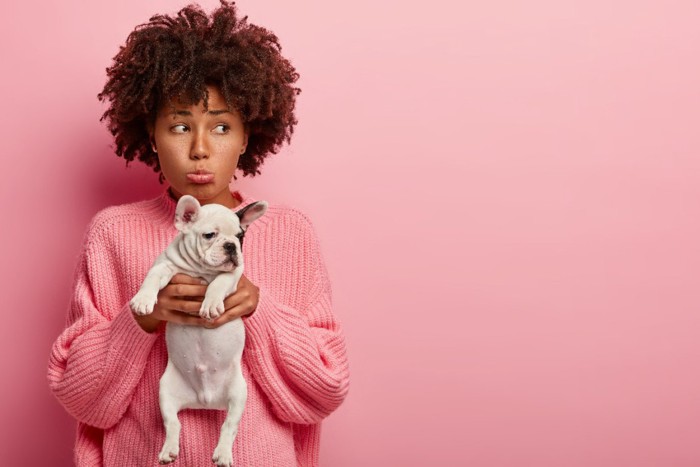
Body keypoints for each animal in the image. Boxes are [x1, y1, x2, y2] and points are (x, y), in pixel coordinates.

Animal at [129, 195, 268, 467]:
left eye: (241, 237)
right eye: (209, 235)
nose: (231, 246)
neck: (201, 270)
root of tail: (205, 400)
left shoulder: (235, 275)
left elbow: (220, 282)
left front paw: (211, 302)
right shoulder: (165, 265)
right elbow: (152, 277)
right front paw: (143, 300)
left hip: (238, 393)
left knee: (229, 426)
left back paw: (222, 454)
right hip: (165, 392)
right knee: (173, 423)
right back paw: (169, 450)